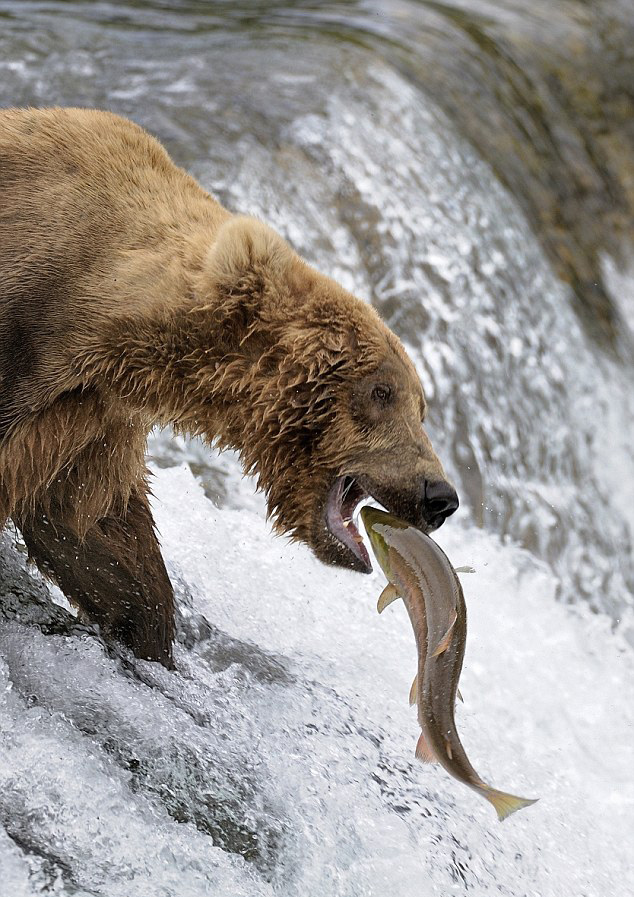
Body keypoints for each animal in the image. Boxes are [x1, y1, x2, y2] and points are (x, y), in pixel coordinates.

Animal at [0, 107, 454, 664]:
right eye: (381, 393)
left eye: (420, 408)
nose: (440, 495)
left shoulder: (88, 418)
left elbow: (93, 530)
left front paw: (145, 630)